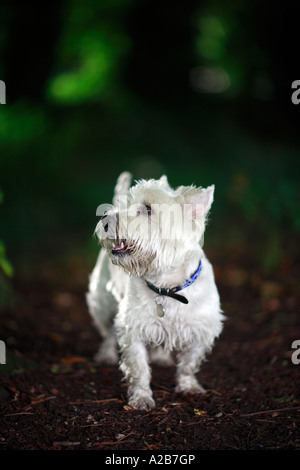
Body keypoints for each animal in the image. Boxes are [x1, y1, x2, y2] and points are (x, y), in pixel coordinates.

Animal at [85, 172, 224, 408]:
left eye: (148, 209)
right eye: (124, 203)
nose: (104, 217)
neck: (167, 287)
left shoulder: (202, 329)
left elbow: (189, 363)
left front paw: (188, 387)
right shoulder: (132, 327)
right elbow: (139, 367)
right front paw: (141, 398)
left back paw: (160, 357)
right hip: (103, 302)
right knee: (107, 331)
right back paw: (106, 355)